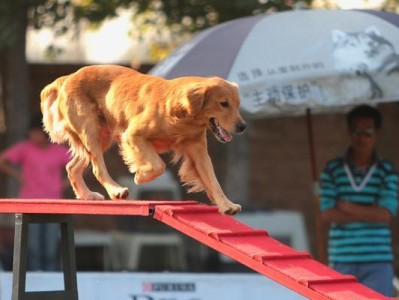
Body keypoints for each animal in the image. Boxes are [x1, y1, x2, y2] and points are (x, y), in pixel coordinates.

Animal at [40, 64, 247, 214]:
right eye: (223, 104)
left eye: (237, 105)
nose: (242, 127)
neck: (180, 111)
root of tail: (68, 77)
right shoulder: (132, 134)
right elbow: (158, 165)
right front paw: (140, 175)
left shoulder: (197, 149)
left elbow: (213, 181)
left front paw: (227, 205)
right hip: (90, 130)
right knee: (98, 168)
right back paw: (116, 191)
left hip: (101, 136)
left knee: (72, 167)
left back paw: (88, 195)